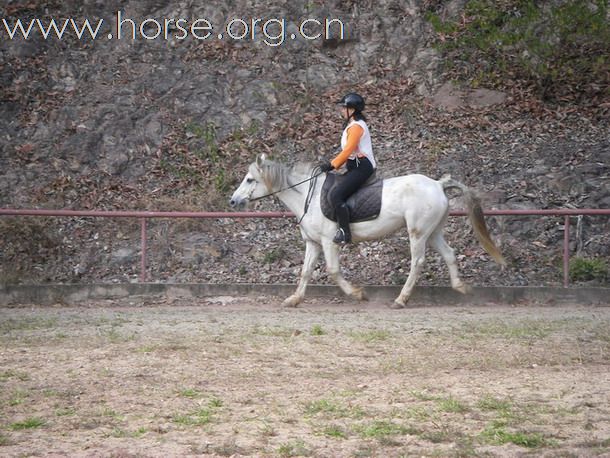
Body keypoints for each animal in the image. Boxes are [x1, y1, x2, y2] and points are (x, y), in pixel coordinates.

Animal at [228, 154, 504, 308]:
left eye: (250, 180)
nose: (233, 201)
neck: (309, 195)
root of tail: (437, 184)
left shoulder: (328, 242)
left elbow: (333, 271)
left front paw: (358, 294)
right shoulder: (313, 243)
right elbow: (305, 272)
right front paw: (294, 300)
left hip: (417, 233)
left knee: (417, 262)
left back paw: (401, 300)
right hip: (432, 231)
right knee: (449, 254)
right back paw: (461, 288)